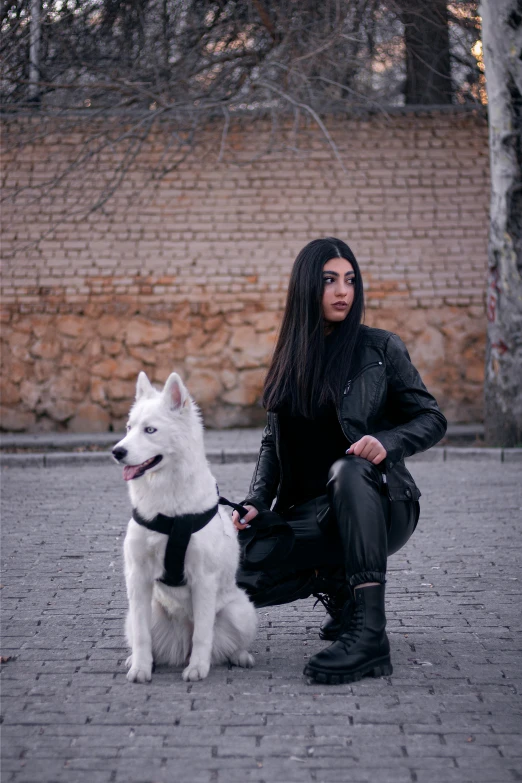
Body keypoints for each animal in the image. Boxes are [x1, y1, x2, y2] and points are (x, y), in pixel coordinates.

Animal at [111, 370, 256, 684]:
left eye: (150, 430)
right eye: (129, 427)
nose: (117, 451)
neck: (170, 511)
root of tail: (180, 641)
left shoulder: (203, 579)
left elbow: (203, 633)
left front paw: (197, 668)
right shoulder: (137, 578)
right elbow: (142, 636)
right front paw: (140, 668)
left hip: (241, 611)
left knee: (223, 642)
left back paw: (239, 656)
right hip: (142, 612)